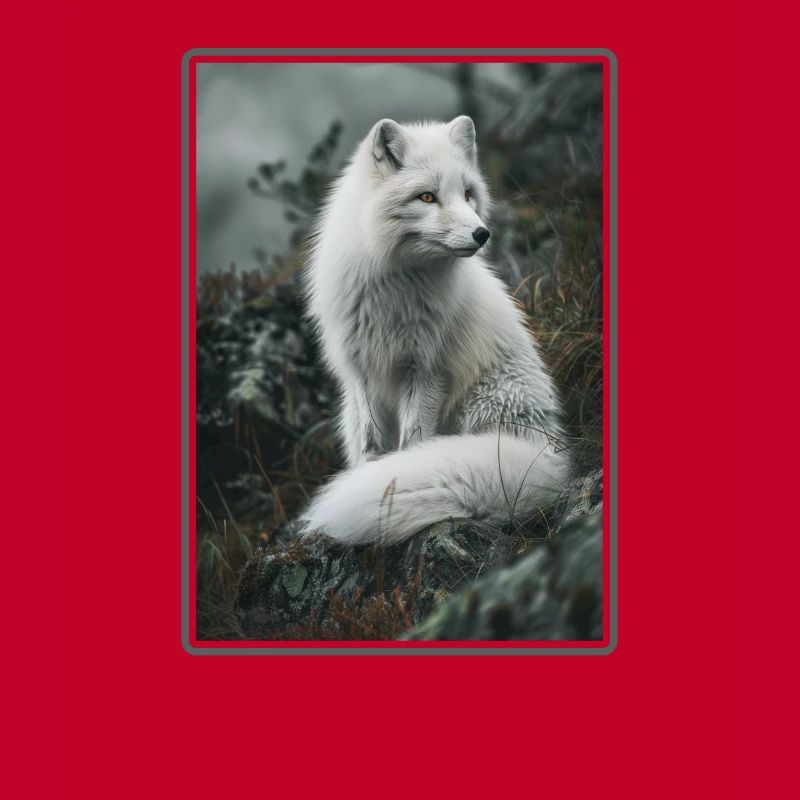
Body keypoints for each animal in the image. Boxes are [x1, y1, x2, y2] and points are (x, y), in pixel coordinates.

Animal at [300, 115, 571, 545]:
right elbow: (370, 442)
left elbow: (412, 443)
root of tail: (549, 453)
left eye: (468, 194)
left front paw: (390, 477)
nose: (482, 234)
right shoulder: (361, 370)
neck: (395, 289)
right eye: (427, 197)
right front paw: (368, 473)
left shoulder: (427, 370)